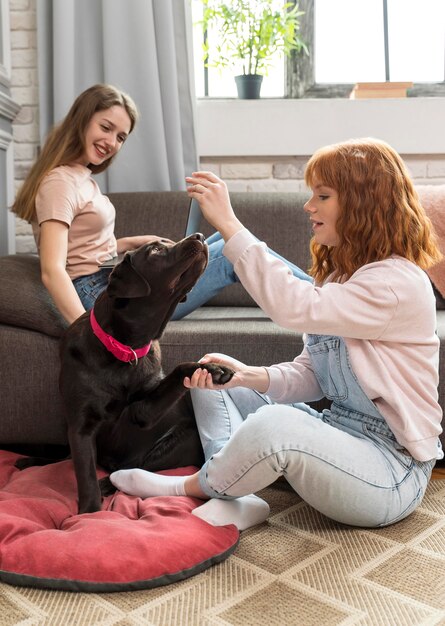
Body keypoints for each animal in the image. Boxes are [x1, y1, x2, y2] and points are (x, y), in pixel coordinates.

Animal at [17, 234, 232, 512]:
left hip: (183, 439)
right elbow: (85, 473)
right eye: (155, 250)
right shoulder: (81, 426)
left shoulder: (143, 412)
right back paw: (31, 460)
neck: (123, 349)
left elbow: (180, 368)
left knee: (132, 468)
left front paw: (214, 369)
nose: (200, 236)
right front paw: (89, 513)